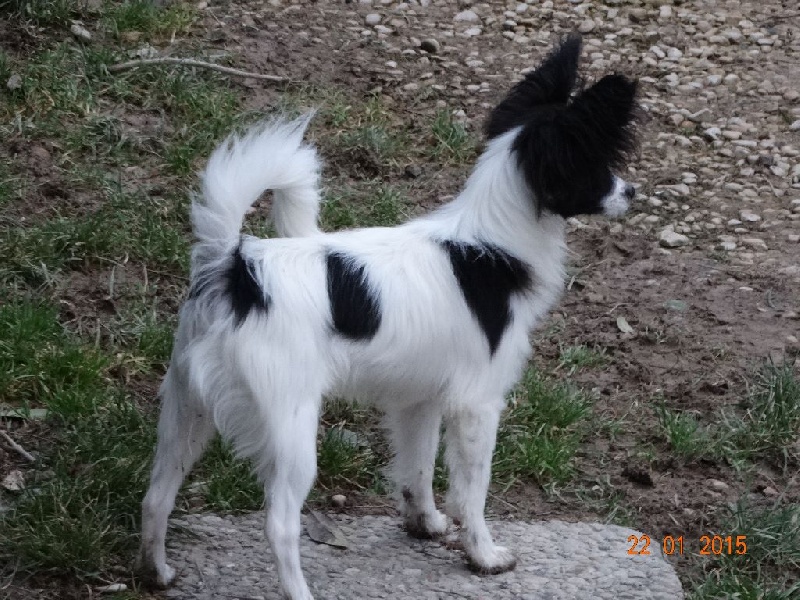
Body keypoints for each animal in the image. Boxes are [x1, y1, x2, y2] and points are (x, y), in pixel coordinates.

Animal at [138, 33, 637, 600]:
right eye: (598, 169)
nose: (632, 192)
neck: (490, 247)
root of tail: (234, 268)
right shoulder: (477, 405)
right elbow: (472, 491)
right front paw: (483, 554)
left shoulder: (418, 400)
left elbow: (416, 470)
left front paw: (425, 524)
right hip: (290, 427)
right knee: (279, 524)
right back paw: (298, 590)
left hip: (187, 409)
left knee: (156, 495)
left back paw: (156, 573)